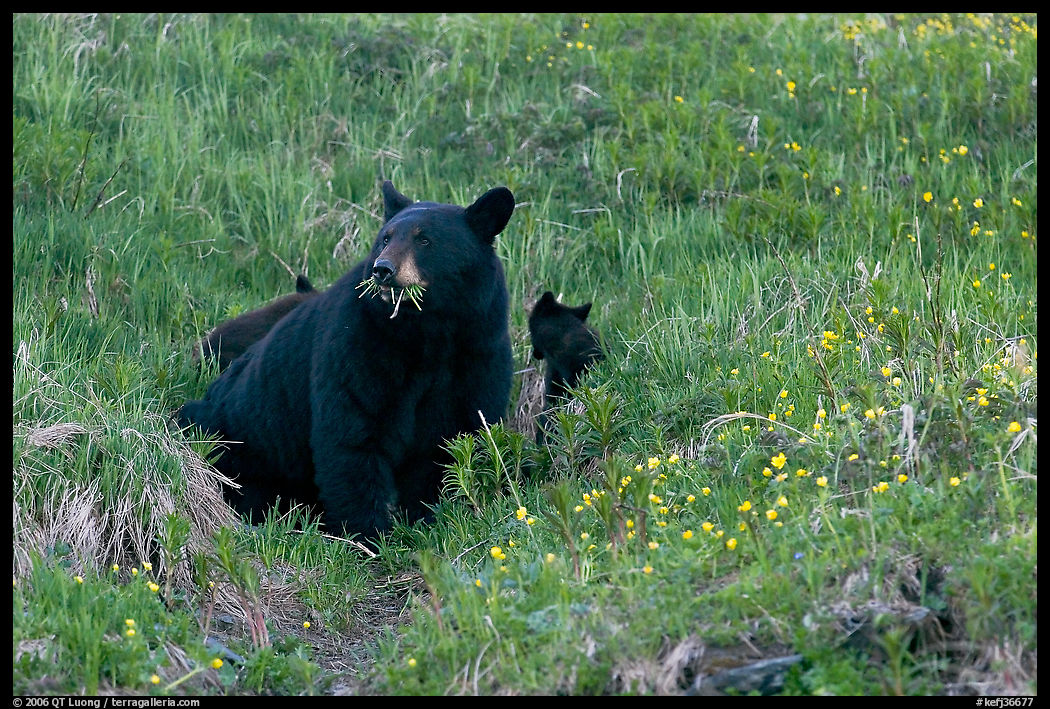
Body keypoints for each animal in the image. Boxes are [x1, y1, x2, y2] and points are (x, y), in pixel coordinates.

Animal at [177, 181, 515, 544]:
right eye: (385, 237)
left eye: (424, 239)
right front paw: (368, 535)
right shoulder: (362, 345)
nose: (383, 269)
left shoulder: (479, 349)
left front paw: (426, 519)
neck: (429, 334)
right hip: (236, 434)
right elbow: (353, 433)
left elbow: (452, 440)